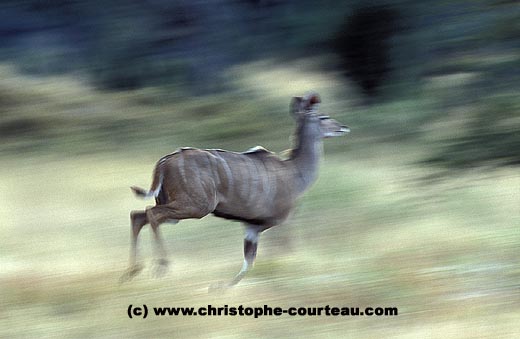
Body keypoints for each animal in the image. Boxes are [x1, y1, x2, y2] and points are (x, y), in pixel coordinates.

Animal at [120, 92, 350, 286]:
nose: (343, 127)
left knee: (138, 215)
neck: (295, 171)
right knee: (152, 214)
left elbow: (249, 262)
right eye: (323, 117)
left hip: (173, 205)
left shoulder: (252, 227)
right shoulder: (278, 222)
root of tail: (164, 162)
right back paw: (160, 266)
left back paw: (131, 272)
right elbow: (280, 251)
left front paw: (217, 288)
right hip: (195, 206)